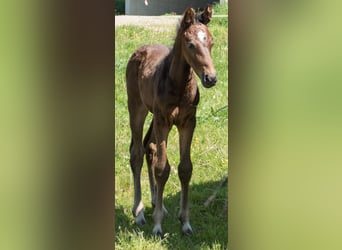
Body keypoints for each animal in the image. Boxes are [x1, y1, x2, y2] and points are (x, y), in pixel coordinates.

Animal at [125, 5, 216, 236]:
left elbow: (185, 168)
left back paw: (157, 203)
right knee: (137, 153)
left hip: (153, 117)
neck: (179, 85)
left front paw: (185, 222)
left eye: (211, 42)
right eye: (190, 44)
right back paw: (139, 211)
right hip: (138, 109)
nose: (211, 78)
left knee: (149, 147)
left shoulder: (188, 122)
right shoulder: (164, 121)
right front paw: (157, 226)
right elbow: (162, 168)